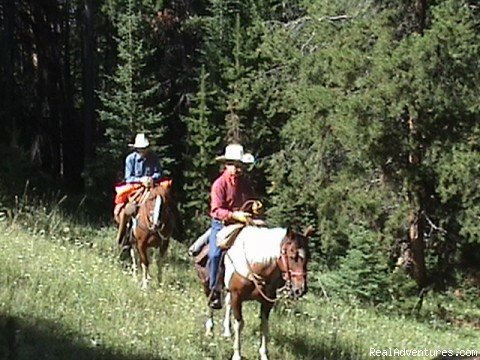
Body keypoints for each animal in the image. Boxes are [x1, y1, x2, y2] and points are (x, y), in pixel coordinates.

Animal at [201, 224, 314, 358]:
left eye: (308, 257)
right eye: (292, 256)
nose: (300, 289)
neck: (255, 266)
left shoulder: (267, 302)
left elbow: (264, 325)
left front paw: (264, 354)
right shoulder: (237, 297)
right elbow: (239, 324)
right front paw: (237, 355)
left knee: (227, 304)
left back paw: (227, 332)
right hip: (209, 283)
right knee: (211, 300)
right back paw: (209, 330)